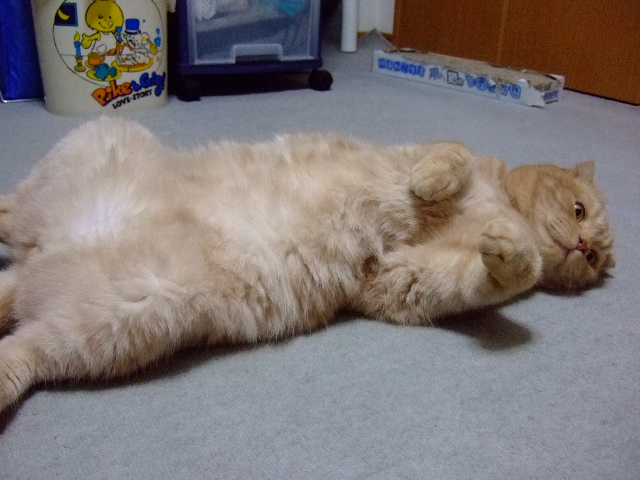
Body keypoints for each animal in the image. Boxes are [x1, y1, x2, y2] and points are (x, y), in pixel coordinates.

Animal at [0, 117, 615, 413]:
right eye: (579, 210)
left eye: (595, 261)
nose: (585, 248)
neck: (497, 201)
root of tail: (46, 250)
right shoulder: (414, 154)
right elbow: (450, 153)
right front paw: (431, 182)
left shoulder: (401, 281)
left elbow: (494, 272)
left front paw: (510, 246)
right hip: (104, 138)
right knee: (12, 211)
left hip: (112, 323)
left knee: (17, 341)